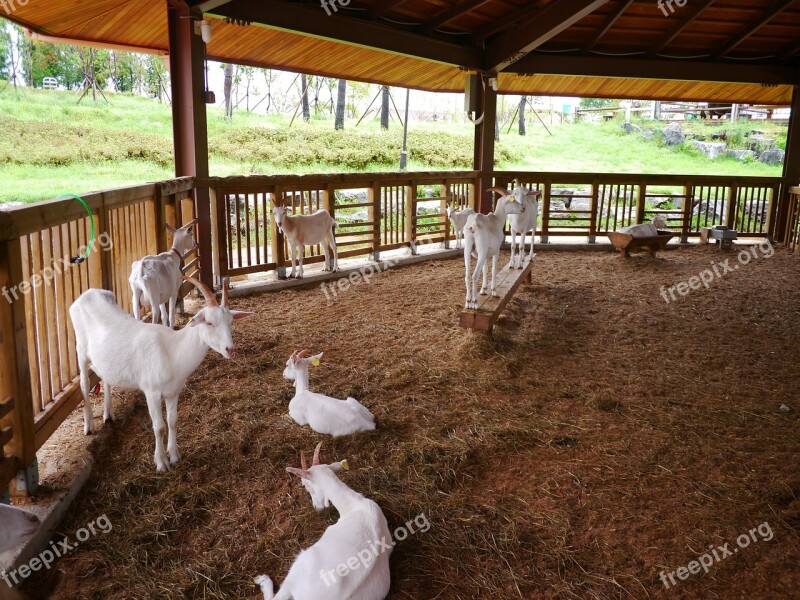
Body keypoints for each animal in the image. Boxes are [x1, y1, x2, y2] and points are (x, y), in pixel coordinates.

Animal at [72, 278, 253, 472]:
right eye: (209, 323)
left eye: (231, 322)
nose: (230, 349)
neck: (172, 351)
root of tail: (88, 293)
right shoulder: (151, 392)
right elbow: (159, 426)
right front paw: (161, 462)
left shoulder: (173, 392)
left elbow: (172, 421)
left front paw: (174, 455)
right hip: (80, 349)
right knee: (84, 382)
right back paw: (89, 424)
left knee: (105, 378)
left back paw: (108, 414)